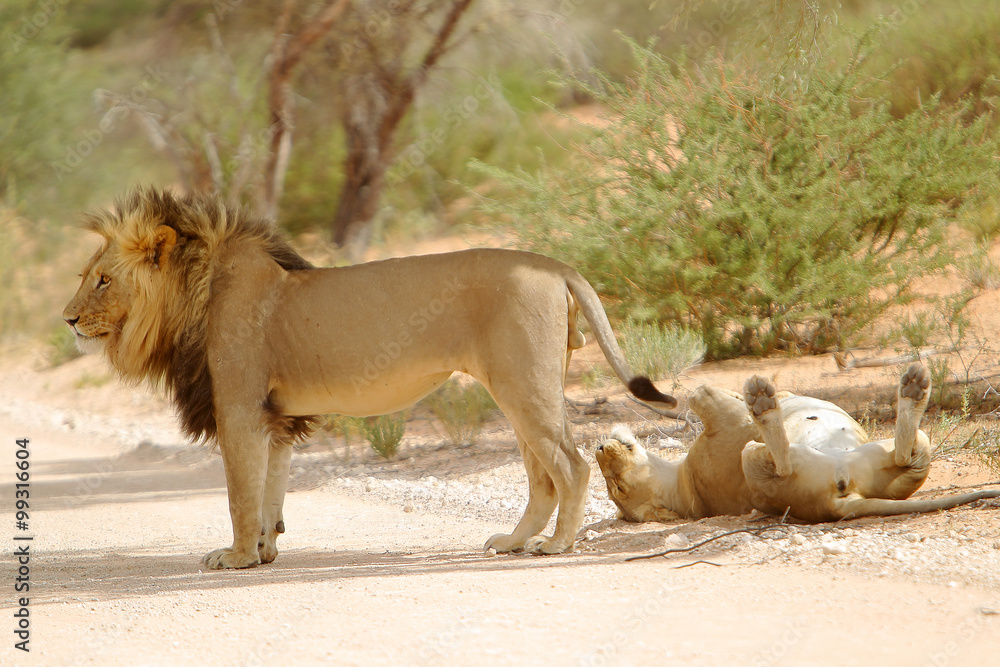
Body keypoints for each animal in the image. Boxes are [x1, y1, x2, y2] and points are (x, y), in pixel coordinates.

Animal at [60, 188, 672, 568]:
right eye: (87, 276)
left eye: (102, 280)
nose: (66, 319)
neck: (196, 291)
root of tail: (555, 265)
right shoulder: (275, 416)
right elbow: (270, 489)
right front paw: (263, 551)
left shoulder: (238, 408)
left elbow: (240, 492)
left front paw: (234, 557)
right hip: (522, 388)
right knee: (542, 478)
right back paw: (514, 542)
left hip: (523, 386)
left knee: (570, 466)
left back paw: (557, 546)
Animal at [596, 368, 996, 524]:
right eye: (619, 487)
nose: (599, 451)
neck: (683, 484)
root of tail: (841, 502)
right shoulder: (720, 416)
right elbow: (697, 392)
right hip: (753, 457)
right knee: (781, 459)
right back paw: (761, 402)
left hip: (900, 456)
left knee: (904, 452)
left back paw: (912, 390)